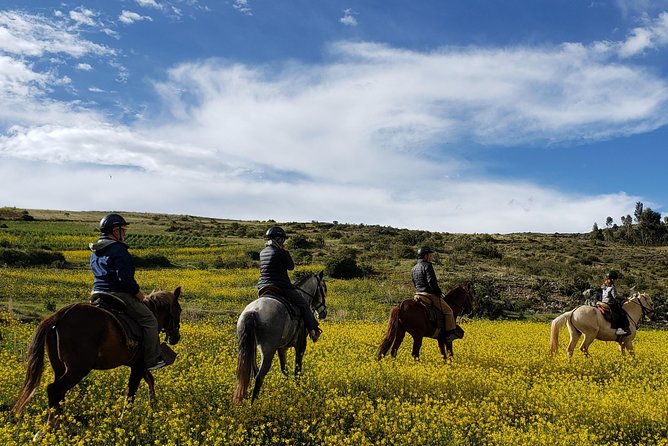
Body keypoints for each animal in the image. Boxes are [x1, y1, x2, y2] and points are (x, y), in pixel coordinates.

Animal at [15, 288, 183, 426]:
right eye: (179, 309)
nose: (176, 337)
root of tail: (61, 315)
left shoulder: (137, 364)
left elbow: (149, 380)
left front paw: (153, 408)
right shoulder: (139, 365)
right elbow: (131, 392)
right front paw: (126, 419)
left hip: (59, 367)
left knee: (58, 394)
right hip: (78, 368)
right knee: (54, 390)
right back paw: (53, 427)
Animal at [234, 272, 328, 404]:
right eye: (324, 289)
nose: (324, 313)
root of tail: (253, 311)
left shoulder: (282, 348)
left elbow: (285, 370)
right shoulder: (300, 346)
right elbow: (297, 371)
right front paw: (298, 390)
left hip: (251, 348)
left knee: (254, 372)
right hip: (268, 351)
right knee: (259, 376)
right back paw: (254, 405)